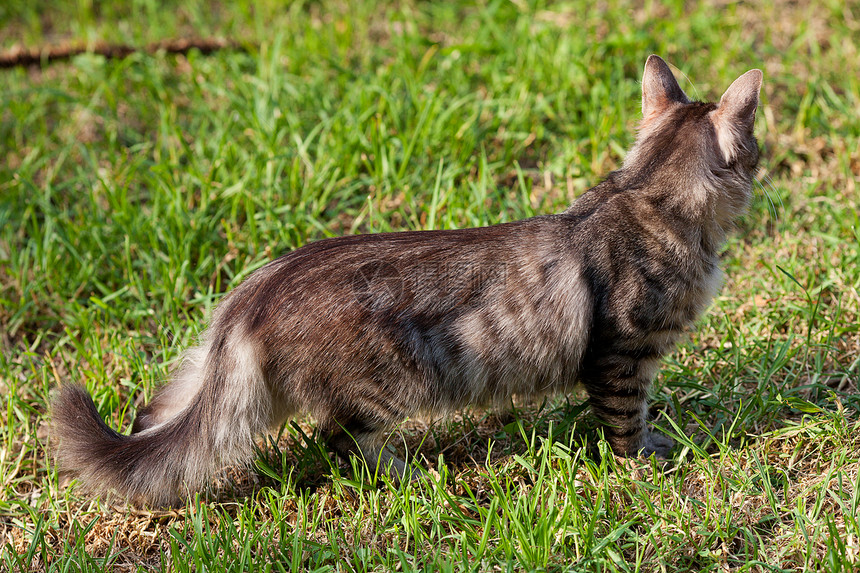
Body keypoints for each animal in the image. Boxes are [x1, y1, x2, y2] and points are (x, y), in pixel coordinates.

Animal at [53, 54, 764, 504]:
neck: (646, 193)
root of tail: (253, 296)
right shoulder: (621, 355)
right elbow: (626, 421)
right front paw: (646, 459)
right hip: (389, 384)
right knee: (339, 441)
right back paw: (414, 474)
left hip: (194, 380)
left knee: (155, 419)